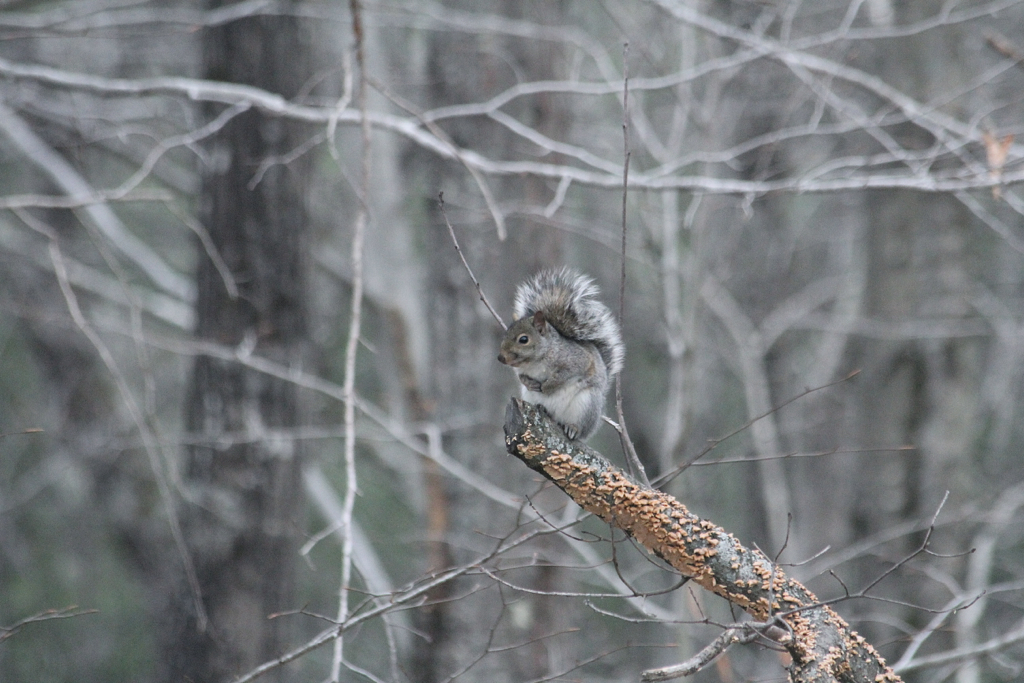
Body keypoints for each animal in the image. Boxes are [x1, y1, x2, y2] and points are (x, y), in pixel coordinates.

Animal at [495, 266, 622, 438]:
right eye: (505, 334)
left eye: (523, 339)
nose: (500, 358)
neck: (535, 361)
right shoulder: (520, 370)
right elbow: (521, 377)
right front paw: (529, 382)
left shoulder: (576, 359)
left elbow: (566, 374)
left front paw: (548, 386)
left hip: (587, 404)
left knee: (580, 428)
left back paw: (573, 428)